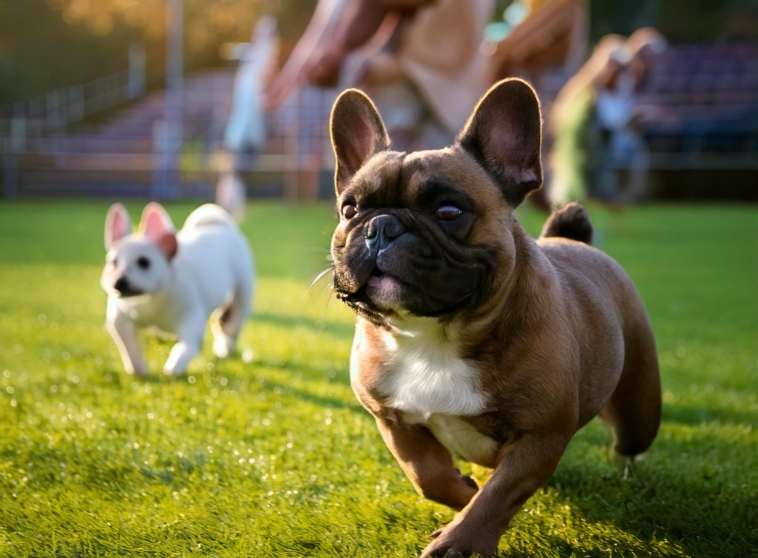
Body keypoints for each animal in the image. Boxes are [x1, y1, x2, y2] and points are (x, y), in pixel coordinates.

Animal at [101, 201, 256, 376]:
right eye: (113, 263)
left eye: (144, 262)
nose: (118, 281)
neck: (150, 299)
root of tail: (220, 226)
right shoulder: (118, 322)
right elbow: (129, 347)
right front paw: (139, 371)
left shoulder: (192, 320)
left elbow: (185, 348)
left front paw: (173, 369)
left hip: (241, 293)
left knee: (230, 323)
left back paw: (225, 349)